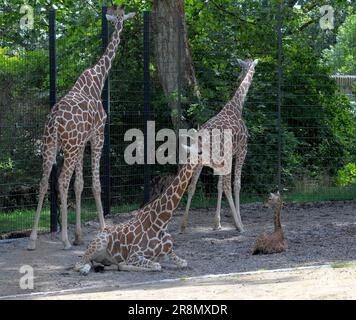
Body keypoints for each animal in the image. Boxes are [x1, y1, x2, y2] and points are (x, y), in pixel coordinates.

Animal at [27, 3, 136, 251]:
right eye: (120, 17)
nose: (121, 26)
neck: (98, 79)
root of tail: (54, 122)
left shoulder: (82, 141)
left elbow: (79, 184)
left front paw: (78, 235)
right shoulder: (97, 135)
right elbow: (95, 184)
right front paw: (103, 228)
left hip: (51, 145)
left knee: (43, 182)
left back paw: (33, 240)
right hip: (69, 146)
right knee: (61, 181)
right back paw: (64, 240)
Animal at [73, 131, 225, 274]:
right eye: (200, 151)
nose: (221, 163)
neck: (162, 221)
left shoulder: (171, 253)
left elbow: (182, 262)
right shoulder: (134, 255)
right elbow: (154, 266)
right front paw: (124, 265)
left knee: (93, 262)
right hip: (100, 242)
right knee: (79, 263)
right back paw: (87, 269)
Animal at [181, 58, 258, 232]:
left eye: (241, 68)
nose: (238, 77)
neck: (237, 106)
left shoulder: (221, 160)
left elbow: (218, 186)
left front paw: (217, 223)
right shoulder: (242, 150)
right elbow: (236, 184)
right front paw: (237, 221)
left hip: (198, 161)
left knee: (192, 185)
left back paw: (183, 225)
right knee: (228, 186)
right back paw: (240, 226)